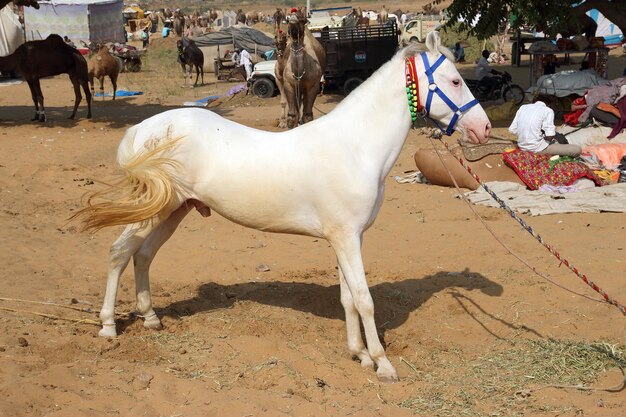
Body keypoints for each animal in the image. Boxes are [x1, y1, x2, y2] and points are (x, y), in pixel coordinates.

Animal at [72, 33, 488, 384]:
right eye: (454, 81)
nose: (482, 128)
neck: (355, 146)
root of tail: (140, 130)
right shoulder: (346, 238)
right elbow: (364, 299)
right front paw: (382, 363)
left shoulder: (346, 239)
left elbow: (348, 297)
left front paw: (358, 354)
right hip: (154, 210)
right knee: (120, 252)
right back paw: (108, 326)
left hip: (175, 211)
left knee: (142, 255)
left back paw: (151, 318)